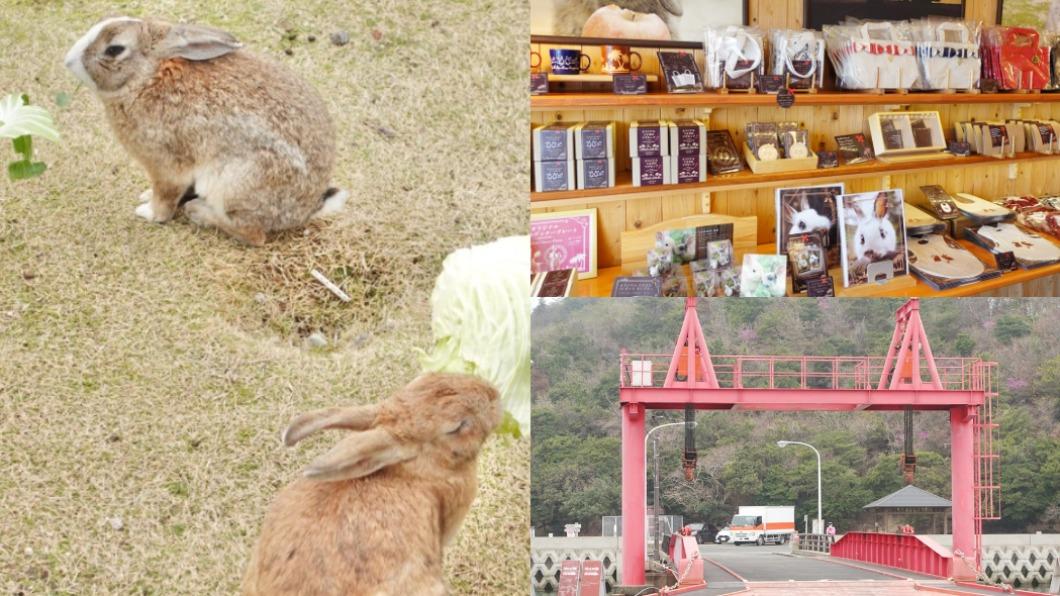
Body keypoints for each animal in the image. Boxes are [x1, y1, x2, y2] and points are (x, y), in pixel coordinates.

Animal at [64, 16, 345, 244]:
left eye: (114, 49)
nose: (68, 60)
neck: (146, 78)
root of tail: (305, 210)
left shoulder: (166, 165)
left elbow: (166, 197)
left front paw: (150, 213)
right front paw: (146, 196)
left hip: (235, 185)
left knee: (254, 235)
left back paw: (199, 212)